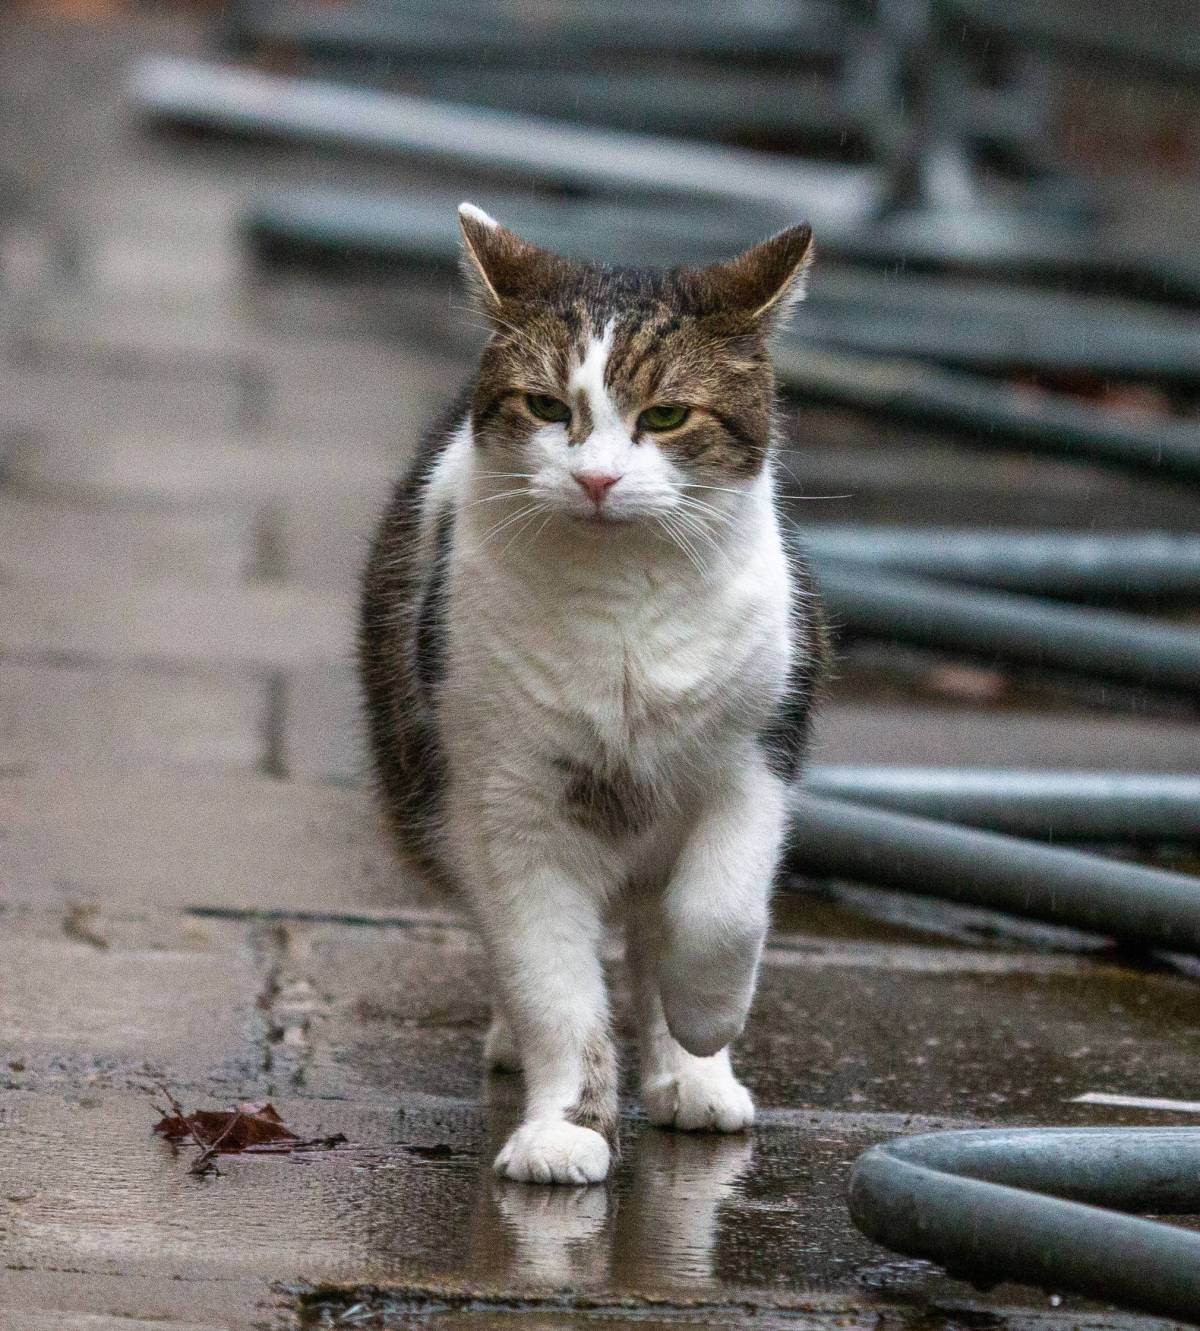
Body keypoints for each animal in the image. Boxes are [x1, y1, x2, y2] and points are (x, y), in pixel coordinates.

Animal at [356, 207, 824, 1187]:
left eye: (667, 414)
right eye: (545, 407)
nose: (598, 479)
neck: (621, 602)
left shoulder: (756, 757)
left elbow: (719, 910)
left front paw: (705, 1022)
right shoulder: (505, 803)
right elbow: (552, 980)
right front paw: (563, 1130)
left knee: (656, 922)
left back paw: (694, 1076)